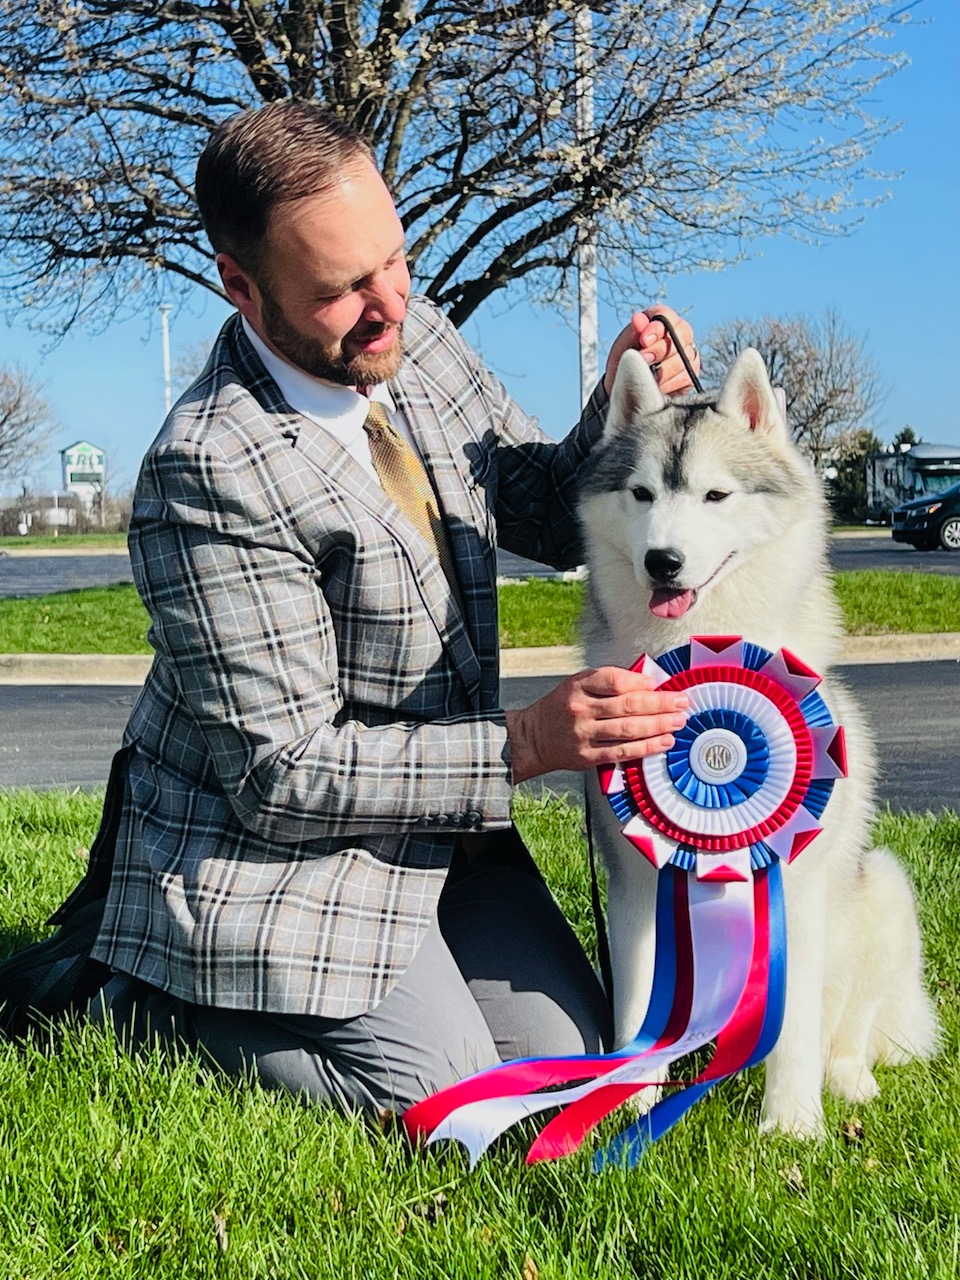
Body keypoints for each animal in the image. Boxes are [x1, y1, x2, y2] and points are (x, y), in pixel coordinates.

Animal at [577, 346, 940, 1136]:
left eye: (716, 495)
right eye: (641, 494)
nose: (663, 561)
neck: (699, 649)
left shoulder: (796, 887)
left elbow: (796, 1028)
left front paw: (792, 1127)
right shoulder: (636, 886)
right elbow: (635, 1011)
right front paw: (630, 1110)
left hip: (884, 889)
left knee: (852, 1030)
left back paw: (849, 1084)